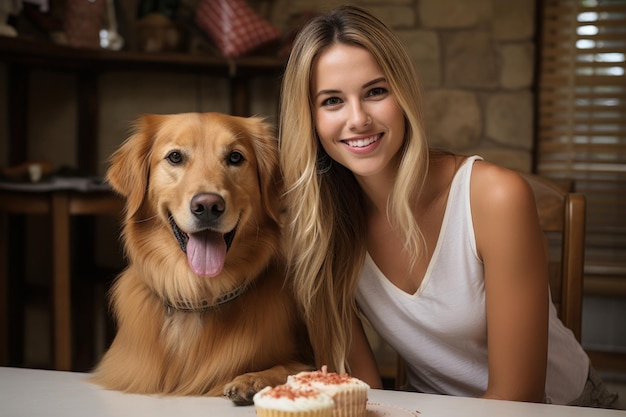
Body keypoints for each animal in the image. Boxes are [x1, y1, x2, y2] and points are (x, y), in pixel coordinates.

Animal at [89, 113, 310, 404]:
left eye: (235, 157)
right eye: (175, 157)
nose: (207, 206)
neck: (198, 295)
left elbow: (291, 368)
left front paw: (252, 379)